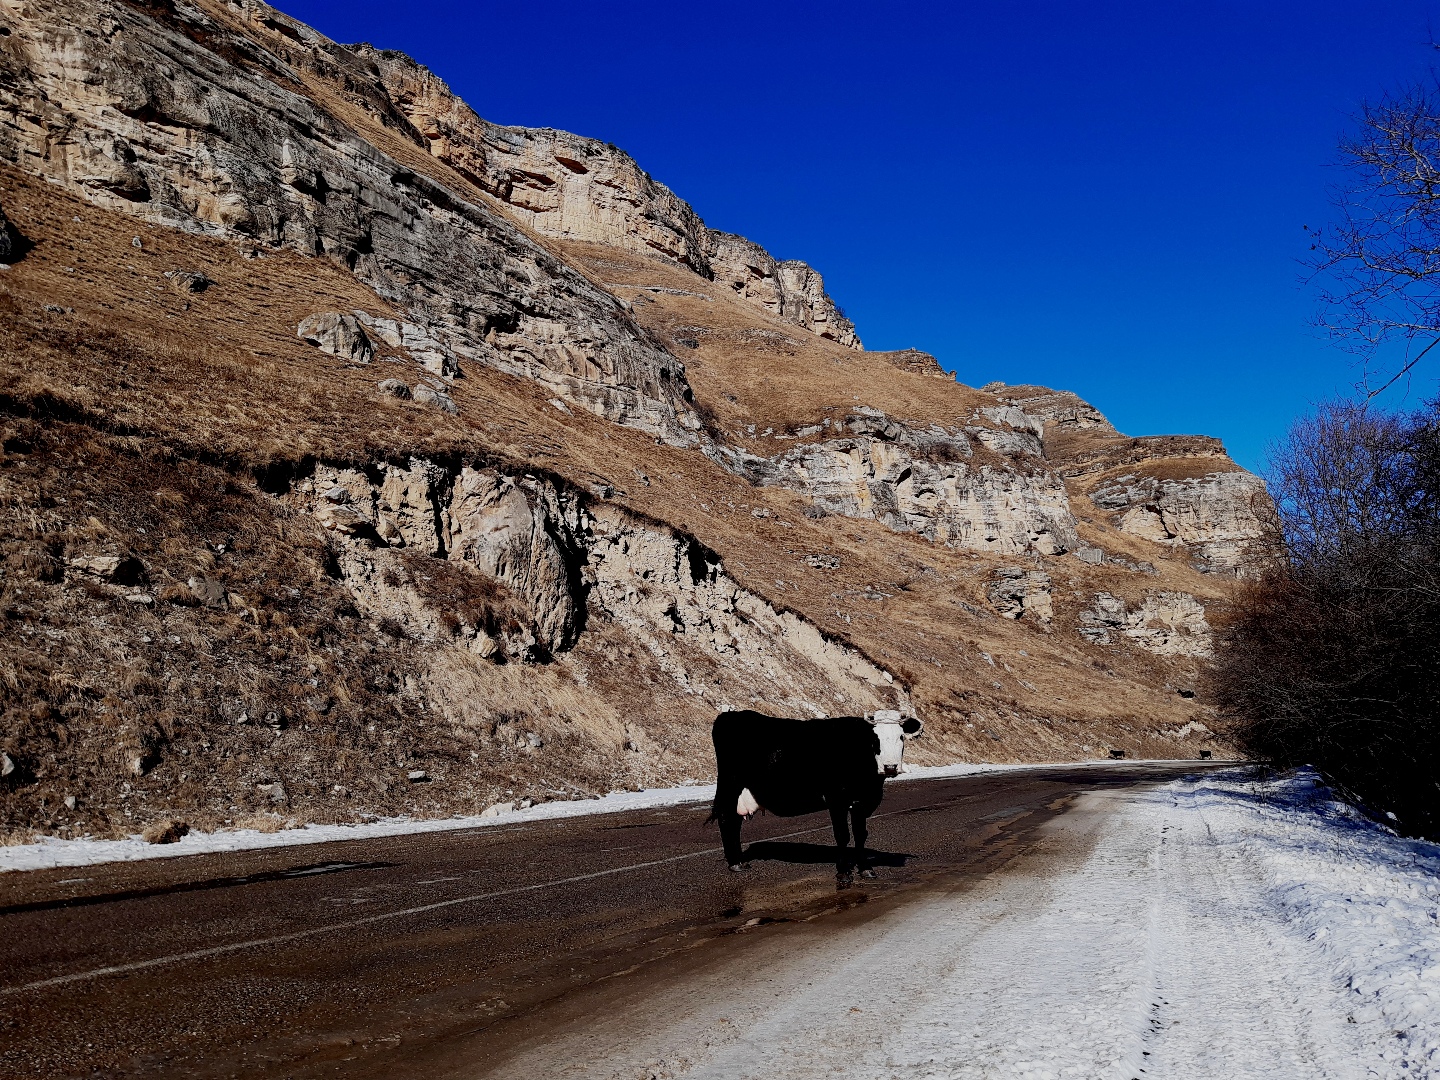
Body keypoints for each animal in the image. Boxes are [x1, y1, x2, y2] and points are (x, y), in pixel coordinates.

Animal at [705, 711, 921, 887]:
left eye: (901, 736)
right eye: (874, 739)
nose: (890, 767)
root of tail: (729, 715)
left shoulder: (862, 801)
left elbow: (860, 834)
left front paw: (866, 869)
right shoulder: (836, 798)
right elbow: (842, 835)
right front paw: (843, 872)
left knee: (734, 822)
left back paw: (740, 861)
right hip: (729, 785)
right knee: (726, 820)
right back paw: (735, 864)